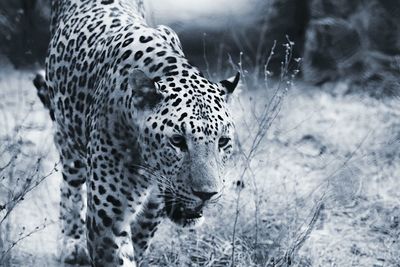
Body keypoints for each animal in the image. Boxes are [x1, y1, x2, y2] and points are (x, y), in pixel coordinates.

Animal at [33, 0, 238, 267]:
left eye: (223, 142)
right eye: (177, 141)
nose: (207, 194)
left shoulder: (153, 207)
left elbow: (141, 239)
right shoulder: (107, 219)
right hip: (68, 142)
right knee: (71, 185)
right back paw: (71, 243)